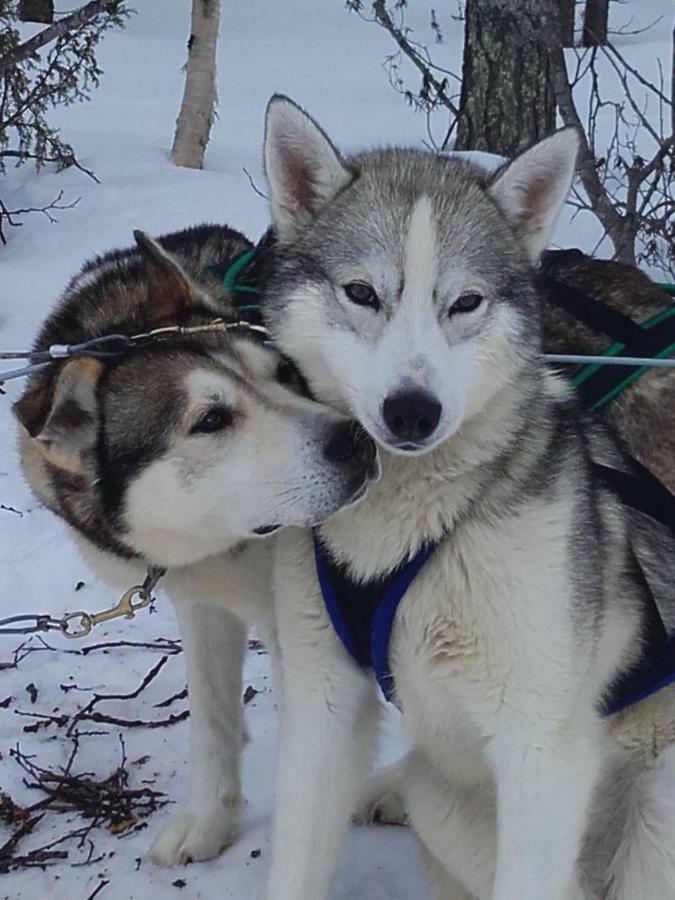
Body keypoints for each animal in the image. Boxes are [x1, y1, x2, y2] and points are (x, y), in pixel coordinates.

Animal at [13, 223, 378, 864]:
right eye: (210, 420)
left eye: (284, 373)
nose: (357, 439)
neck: (219, 543)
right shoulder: (204, 604)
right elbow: (211, 720)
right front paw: (212, 820)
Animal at [258, 95, 675, 896]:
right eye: (362, 293)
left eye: (465, 302)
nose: (411, 411)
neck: (411, 531)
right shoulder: (323, 700)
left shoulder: (540, 751)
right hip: (441, 802)